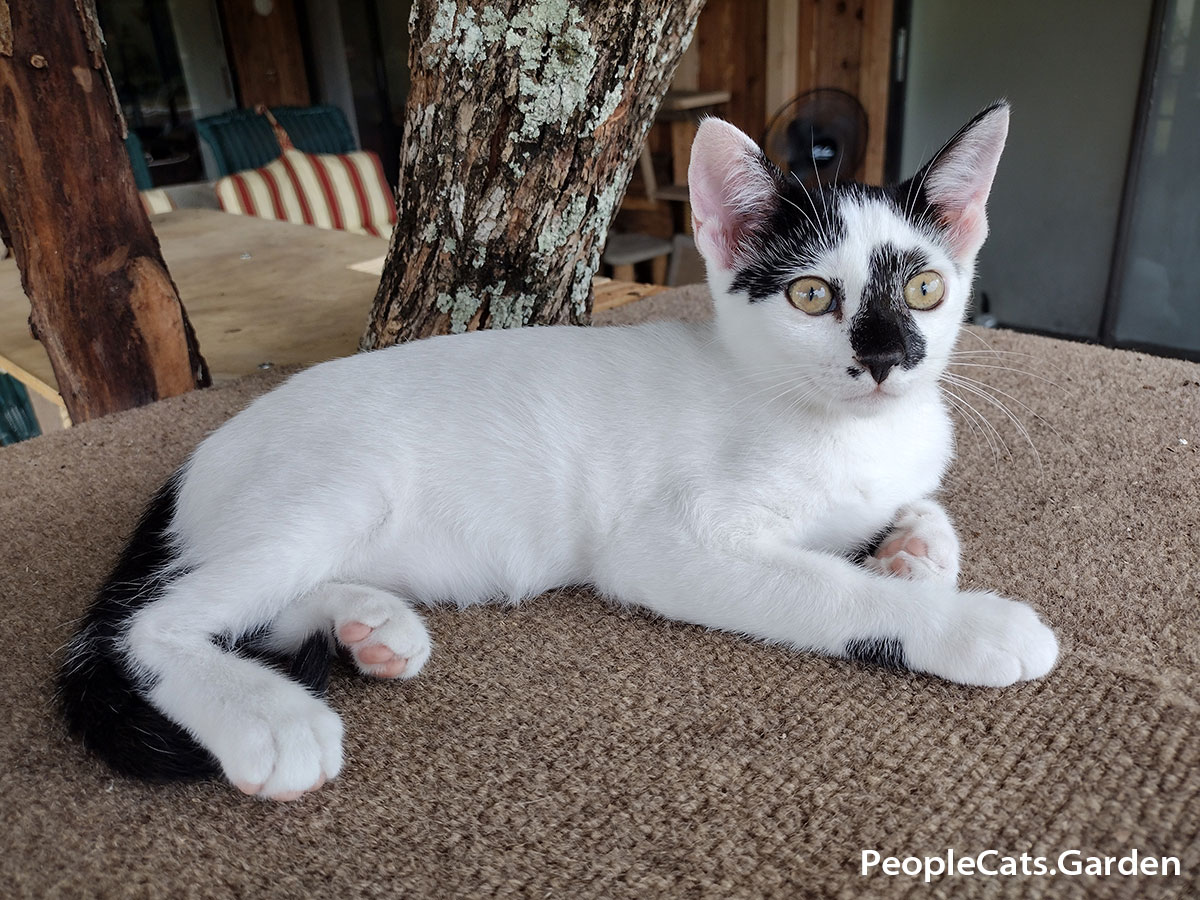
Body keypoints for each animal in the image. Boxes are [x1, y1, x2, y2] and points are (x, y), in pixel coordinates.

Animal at [63, 105, 1060, 801]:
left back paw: (368, 629)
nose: (888, 356)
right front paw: (967, 622)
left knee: (256, 610)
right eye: (813, 295)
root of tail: (195, 461)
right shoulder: (666, 547)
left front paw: (915, 548)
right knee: (149, 624)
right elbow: (833, 588)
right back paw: (270, 719)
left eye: (926, 288)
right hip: (334, 485)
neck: (835, 425)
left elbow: (920, 508)